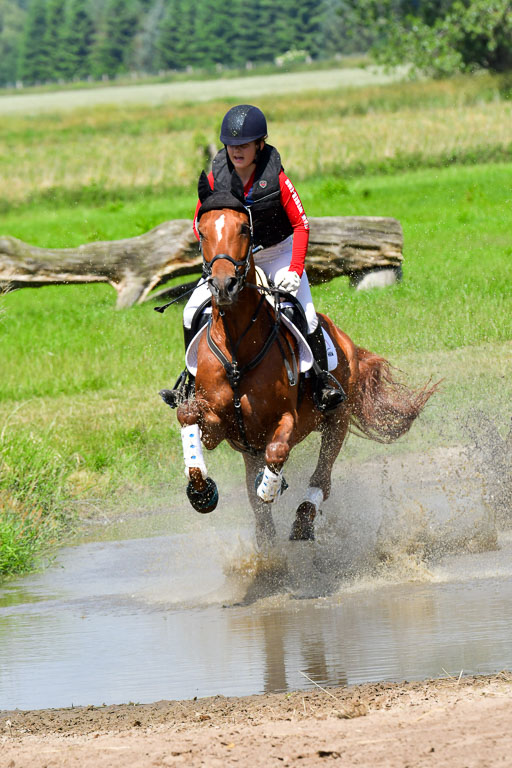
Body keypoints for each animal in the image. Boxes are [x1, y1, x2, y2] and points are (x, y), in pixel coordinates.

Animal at [173, 172, 437, 546]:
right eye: (203, 229)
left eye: (244, 228)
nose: (224, 285)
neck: (239, 348)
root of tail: (345, 339)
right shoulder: (220, 427)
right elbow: (188, 416)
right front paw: (201, 492)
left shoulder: (288, 420)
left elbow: (278, 452)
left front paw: (271, 487)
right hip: (252, 448)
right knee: (258, 502)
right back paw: (266, 541)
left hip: (337, 418)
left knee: (321, 479)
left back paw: (301, 520)